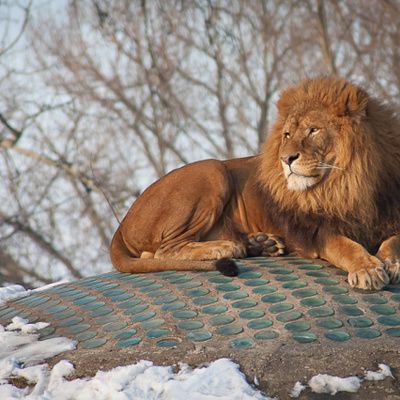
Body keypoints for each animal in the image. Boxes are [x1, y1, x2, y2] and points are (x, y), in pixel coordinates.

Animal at [110, 77, 400, 290]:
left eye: (313, 130)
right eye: (287, 134)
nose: (286, 159)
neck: (346, 184)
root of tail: (122, 225)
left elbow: (394, 240)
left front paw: (391, 263)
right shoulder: (313, 232)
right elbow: (345, 246)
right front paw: (367, 270)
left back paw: (261, 244)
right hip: (212, 169)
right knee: (161, 252)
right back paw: (228, 246)